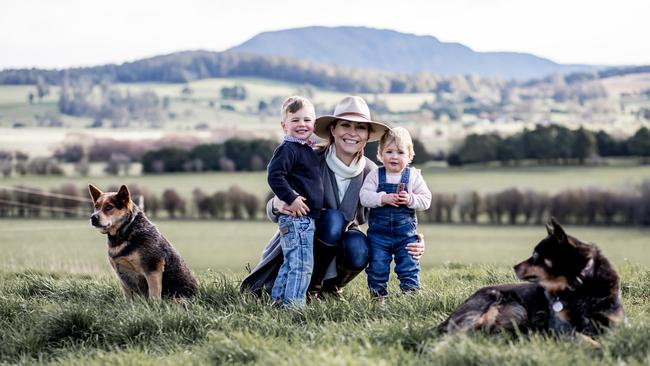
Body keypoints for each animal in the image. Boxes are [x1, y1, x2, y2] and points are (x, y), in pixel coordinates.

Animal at [436, 217, 624, 338]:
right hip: (486, 309)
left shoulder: (616, 323)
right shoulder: (563, 329)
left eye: (535, 255)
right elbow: (587, 340)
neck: (580, 285)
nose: (514, 266)